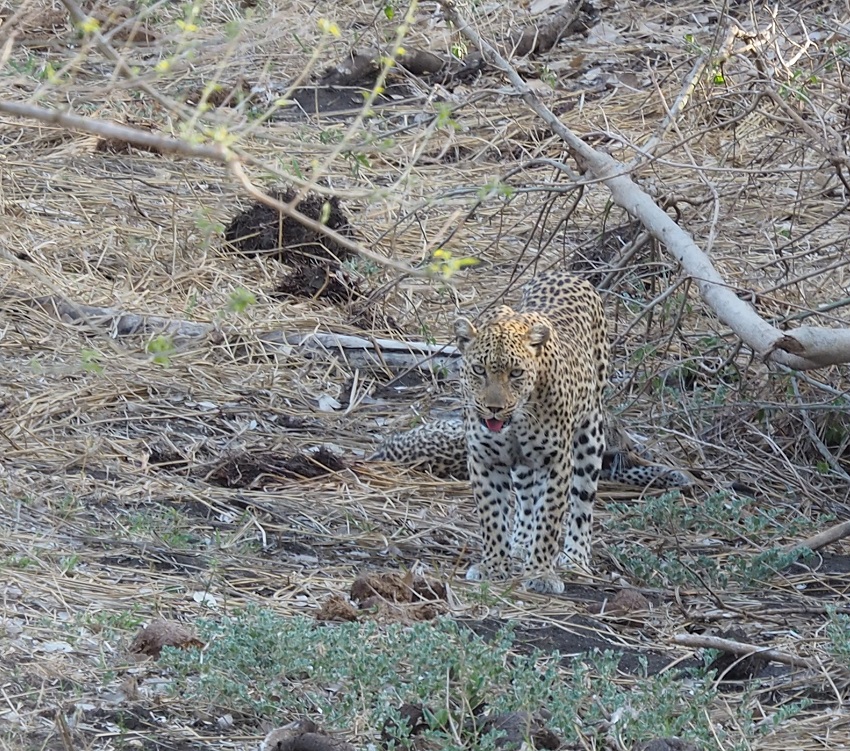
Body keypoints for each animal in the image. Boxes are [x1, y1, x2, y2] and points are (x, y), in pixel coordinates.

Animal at [370, 271, 690, 595]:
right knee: (525, 498)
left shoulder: (556, 462)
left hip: (590, 434)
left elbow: (549, 517)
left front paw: (540, 572)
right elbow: (492, 515)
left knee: (581, 504)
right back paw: (521, 542)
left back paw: (575, 557)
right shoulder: (485, 459)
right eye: (479, 370)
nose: (494, 408)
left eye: (516, 373)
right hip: (524, 464)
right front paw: (494, 564)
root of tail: (565, 273)